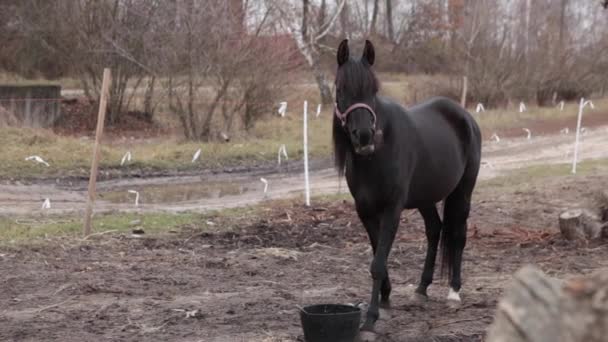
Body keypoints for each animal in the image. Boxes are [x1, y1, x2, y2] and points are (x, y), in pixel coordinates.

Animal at [332, 39, 480, 332]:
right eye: (340, 89)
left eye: (373, 90)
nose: (364, 137)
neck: (376, 154)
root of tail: (464, 116)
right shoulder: (365, 211)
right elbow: (378, 256)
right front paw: (385, 300)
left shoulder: (392, 208)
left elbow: (378, 263)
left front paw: (370, 320)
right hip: (425, 198)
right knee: (435, 230)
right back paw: (422, 289)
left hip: (463, 192)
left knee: (458, 234)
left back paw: (454, 292)